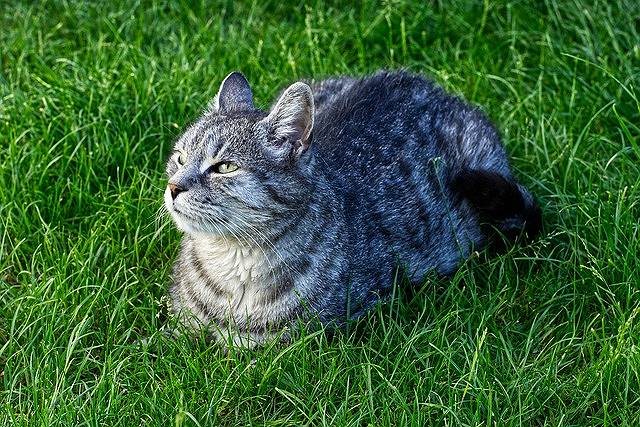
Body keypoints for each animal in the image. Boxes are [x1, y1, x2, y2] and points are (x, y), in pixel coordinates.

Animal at [161, 70, 540, 348]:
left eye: (224, 167)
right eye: (179, 157)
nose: (174, 186)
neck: (232, 260)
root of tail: (430, 85)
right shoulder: (179, 324)